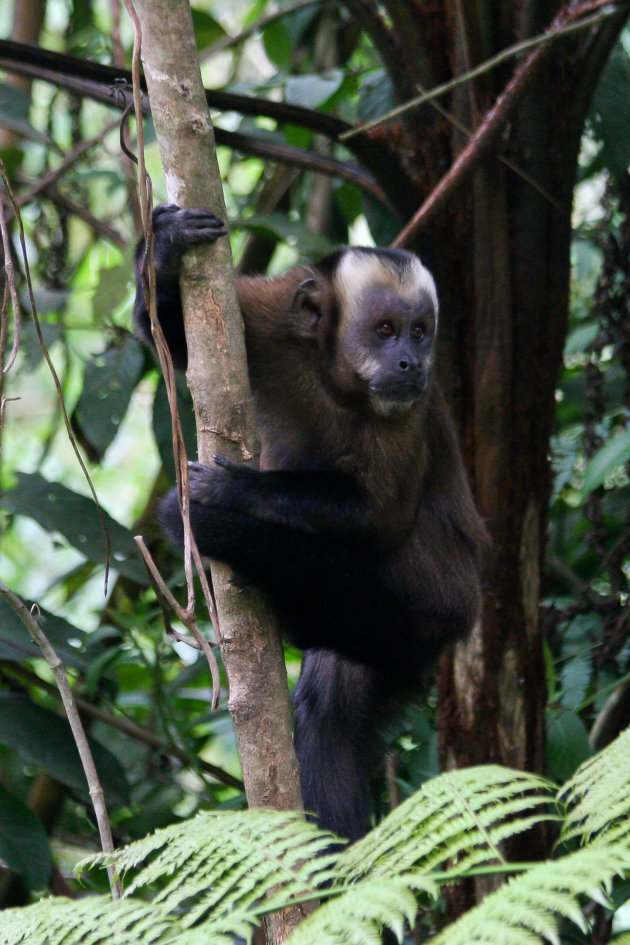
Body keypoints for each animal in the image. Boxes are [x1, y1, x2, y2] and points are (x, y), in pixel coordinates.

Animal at [135, 205, 488, 840]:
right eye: (386, 330)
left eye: (420, 332)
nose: (411, 362)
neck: (337, 379)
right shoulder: (276, 317)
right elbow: (169, 341)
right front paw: (167, 247)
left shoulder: (408, 409)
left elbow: (380, 518)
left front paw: (234, 493)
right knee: (331, 723)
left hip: (416, 621)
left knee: (321, 576)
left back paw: (224, 537)